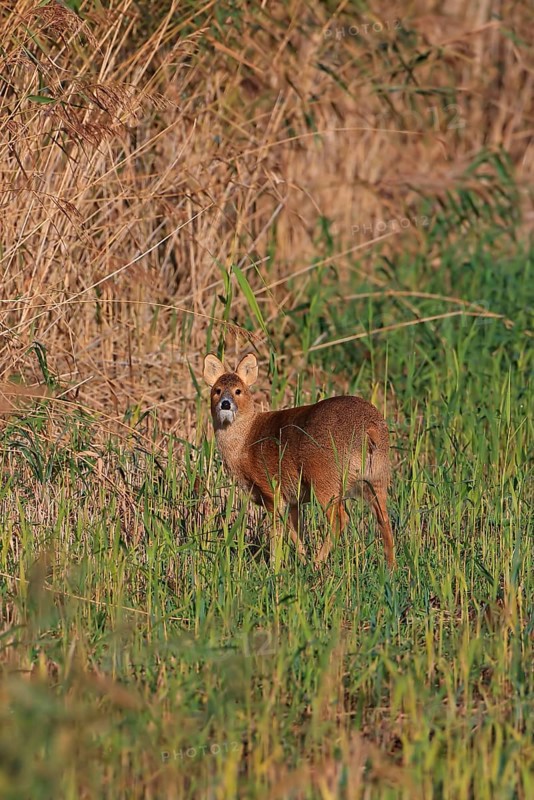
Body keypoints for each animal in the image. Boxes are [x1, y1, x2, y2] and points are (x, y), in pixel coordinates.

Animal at [202, 353, 395, 568]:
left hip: (325, 479)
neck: (246, 442)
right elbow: (294, 532)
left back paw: (318, 563)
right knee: (384, 519)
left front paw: (275, 566)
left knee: (340, 519)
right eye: (217, 390)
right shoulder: (292, 498)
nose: (225, 403)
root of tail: (369, 428)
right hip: (377, 476)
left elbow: (277, 532)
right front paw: (301, 560)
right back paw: (391, 567)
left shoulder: (271, 489)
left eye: (238, 391)